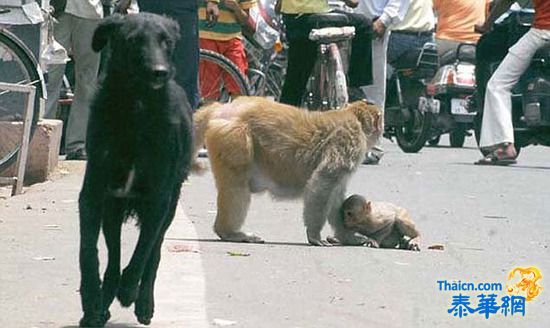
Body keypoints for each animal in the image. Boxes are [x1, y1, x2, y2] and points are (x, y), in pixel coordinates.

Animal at [78, 12, 194, 326]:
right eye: (133, 41)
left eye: (166, 41)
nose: (160, 72)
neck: (136, 109)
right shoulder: (94, 193)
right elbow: (88, 252)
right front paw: (92, 301)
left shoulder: (159, 199)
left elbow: (144, 251)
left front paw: (130, 290)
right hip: (113, 208)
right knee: (114, 255)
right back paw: (103, 302)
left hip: (170, 204)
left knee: (154, 252)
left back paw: (142, 301)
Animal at [192, 97, 382, 246]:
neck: (355, 119)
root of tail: (223, 108)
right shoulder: (348, 143)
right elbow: (322, 183)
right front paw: (314, 235)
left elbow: (335, 195)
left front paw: (348, 237)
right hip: (234, 137)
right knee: (237, 187)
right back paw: (230, 232)